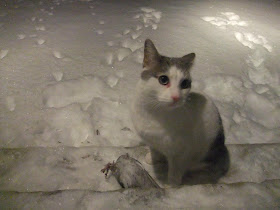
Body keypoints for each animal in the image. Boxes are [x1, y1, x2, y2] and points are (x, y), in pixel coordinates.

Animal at [130, 39, 229, 185]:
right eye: (163, 79)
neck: (156, 113)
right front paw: (152, 158)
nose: (176, 97)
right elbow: (155, 150)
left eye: (184, 84)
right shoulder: (152, 140)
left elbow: (175, 173)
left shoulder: (180, 155)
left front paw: (171, 185)